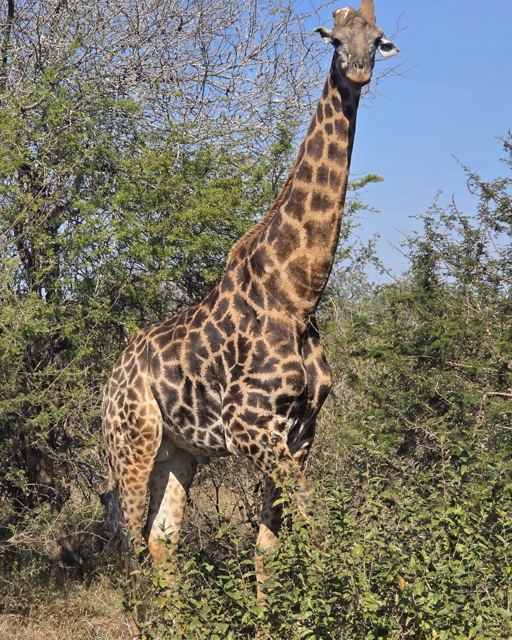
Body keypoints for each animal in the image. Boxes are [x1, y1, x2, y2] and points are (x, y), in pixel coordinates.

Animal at [102, 0, 398, 629]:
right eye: (334, 39)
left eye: (378, 39)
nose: (358, 71)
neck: (298, 294)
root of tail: (113, 377)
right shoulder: (251, 427)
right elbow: (314, 530)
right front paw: (350, 608)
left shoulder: (299, 432)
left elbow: (269, 544)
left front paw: (273, 622)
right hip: (131, 438)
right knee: (126, 536)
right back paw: (144, 625)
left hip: (179, 450)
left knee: (162, 537)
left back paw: (179, 624)